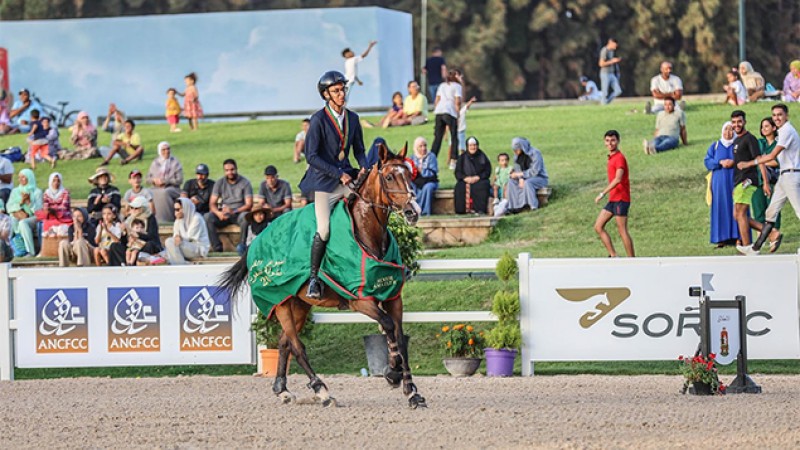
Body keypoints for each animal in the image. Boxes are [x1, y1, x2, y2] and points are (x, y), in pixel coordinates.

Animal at [219, 142, 428, 410]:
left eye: (410, 175)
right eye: (390, 176)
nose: (413, 211)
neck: (367, 234)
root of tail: (257, 241)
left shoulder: (393, 297)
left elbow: (399, 337)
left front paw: (411, 391)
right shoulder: (360, 300)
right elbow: (389, 326)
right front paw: (392, 373)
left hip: (299, 303)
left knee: (284, 342)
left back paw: (282, 390)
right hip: (281, 302)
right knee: (296, 345)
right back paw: (321, 390)